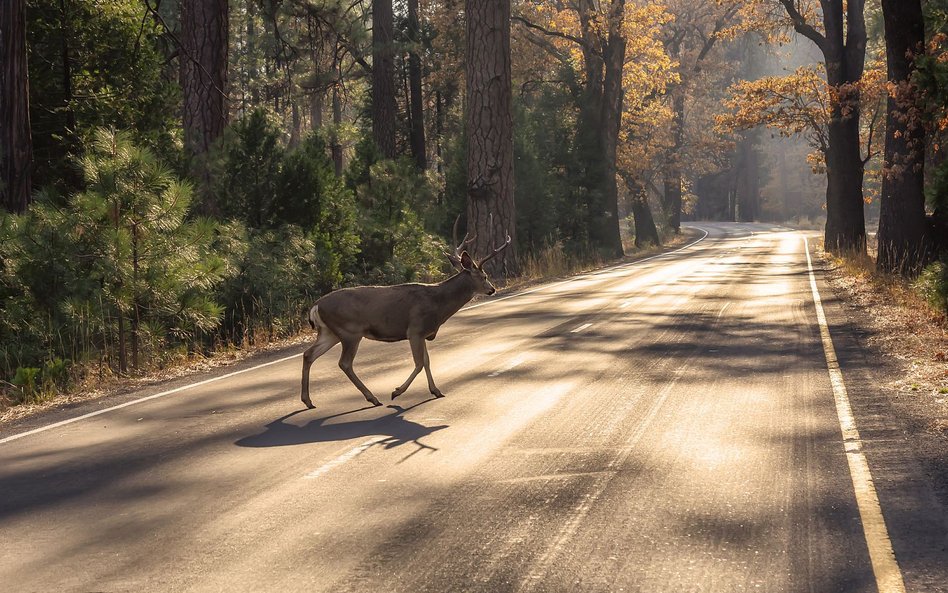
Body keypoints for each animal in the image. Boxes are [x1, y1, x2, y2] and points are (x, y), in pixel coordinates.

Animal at [302, 220, 512, 410]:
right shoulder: (415, 329)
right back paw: (373, 398)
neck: (438, 304)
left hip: (330, 332)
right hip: (350, 331)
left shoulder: (424, 333)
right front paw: (396, 392)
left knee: (308, 354)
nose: (492, 289)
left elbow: (427, 361)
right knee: (344, 363)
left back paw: (308, 401)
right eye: (484, 276)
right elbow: (419, 363)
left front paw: (436, 390)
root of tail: (316, 306)